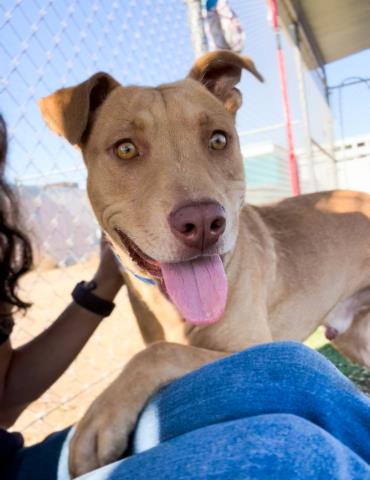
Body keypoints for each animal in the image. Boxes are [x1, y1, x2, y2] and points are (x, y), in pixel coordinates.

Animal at [38, 49, 370, 476]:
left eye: (218, 139)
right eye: (125, 149)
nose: (202, 224)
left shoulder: (255, 346)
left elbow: (159, 353)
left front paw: (100, 420)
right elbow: (160, 348)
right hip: (356, 339)